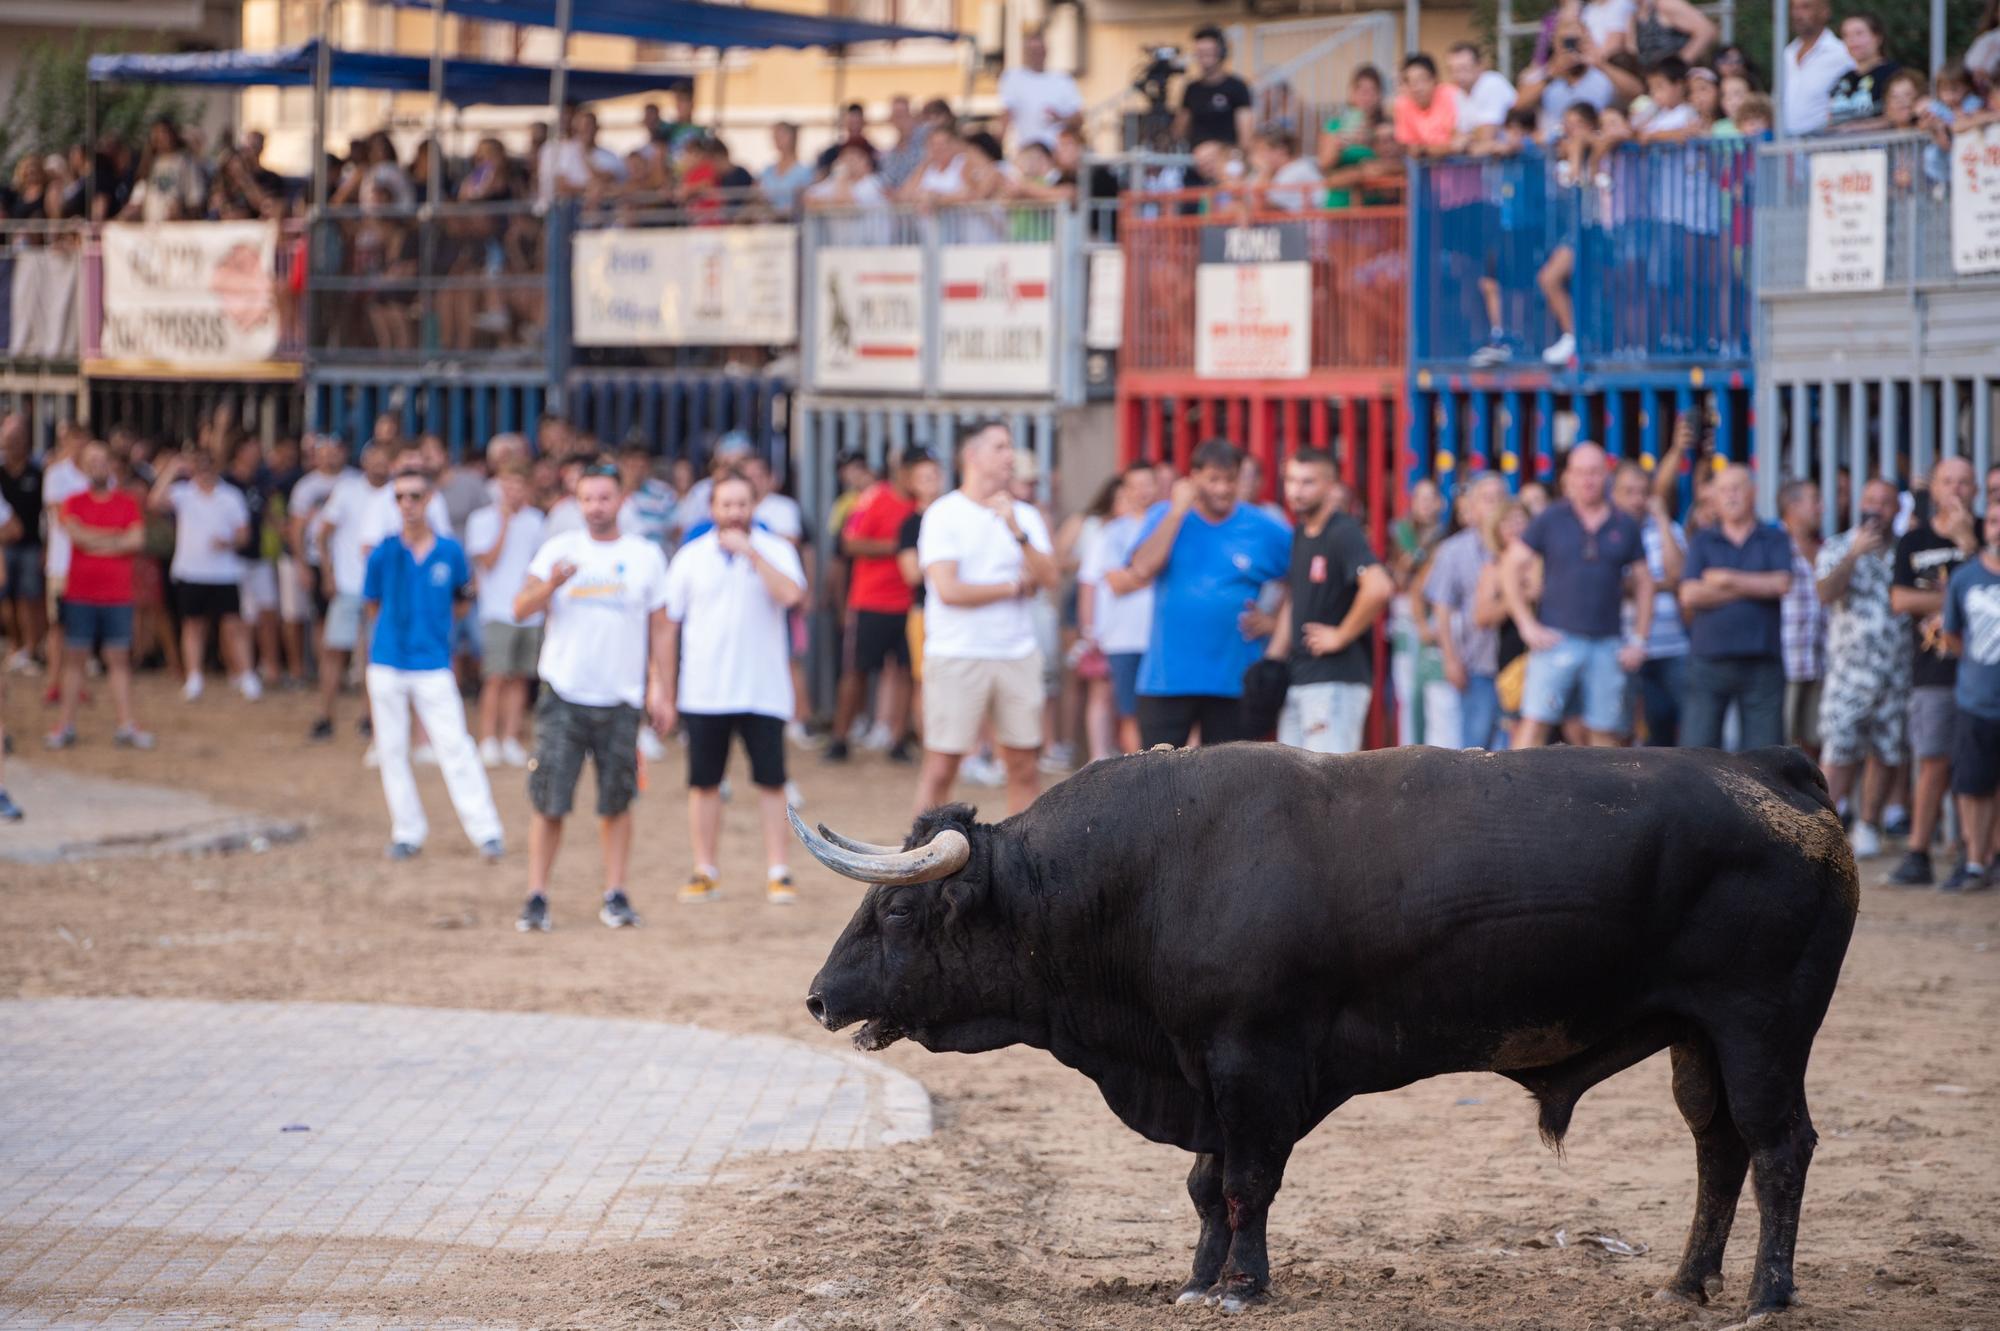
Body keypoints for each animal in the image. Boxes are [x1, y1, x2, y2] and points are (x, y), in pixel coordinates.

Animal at [796, 739, 1856, 1311]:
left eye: (898, 911)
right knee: (1719, 1148)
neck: (1147, 871)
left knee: (1779, 1147)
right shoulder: (1204, 1069)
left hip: (1762, 1029)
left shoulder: (1252, 1063)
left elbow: (1246, 1184)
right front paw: (1198, 1279)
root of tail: (1777, 768)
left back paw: (1764, 1294)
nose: (817, 996)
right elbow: (1206, 1184)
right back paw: (1686, 1281)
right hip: (1697, 1038)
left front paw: (1242, 1284)